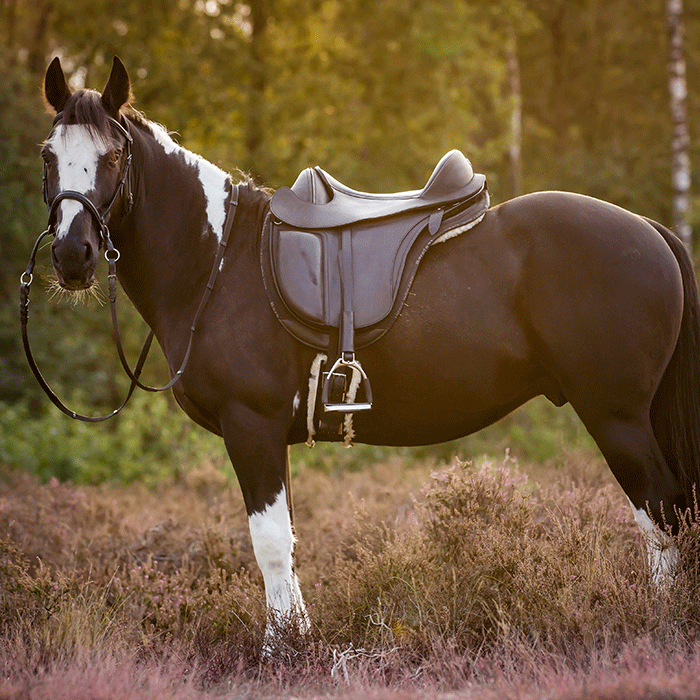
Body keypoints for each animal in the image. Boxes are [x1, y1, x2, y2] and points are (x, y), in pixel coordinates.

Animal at [35, 56, 700, 650]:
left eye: (113, 156)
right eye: (49, 155)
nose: (72, 255)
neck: (217, 261)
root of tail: (650, 229)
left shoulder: (251, 426)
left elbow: (269, 544)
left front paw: (282, 650)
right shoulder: (270, 435)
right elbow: (287, 540)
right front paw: (297, 637)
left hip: (615, 416)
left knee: (663, 511)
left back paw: (659, 621)